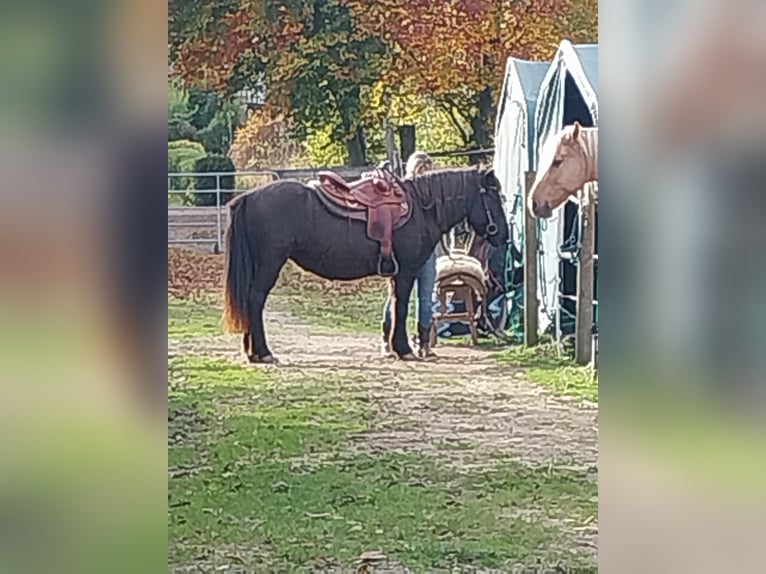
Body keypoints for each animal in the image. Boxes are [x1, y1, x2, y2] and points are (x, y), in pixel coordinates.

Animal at [222, 167, 508, 363]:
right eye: (494, 196)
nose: (504, 235)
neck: (420, 208)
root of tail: (248, 198)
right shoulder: (405, 273)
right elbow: (401, 307)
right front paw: (403, 349)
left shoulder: (396, 274)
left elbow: (394, 307)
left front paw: (395, 348)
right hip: (270, 264)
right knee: (256, 299)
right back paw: (263, 352)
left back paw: (252, 351)